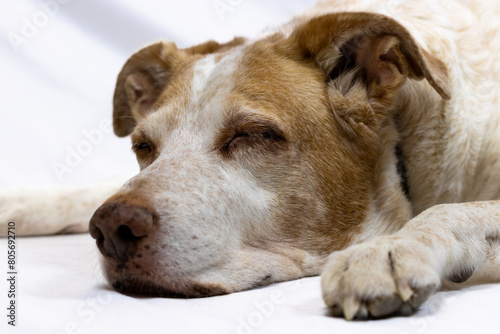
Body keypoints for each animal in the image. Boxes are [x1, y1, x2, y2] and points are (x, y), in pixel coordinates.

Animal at [0, 0, 500, 320]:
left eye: (253, 135)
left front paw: (387, 250)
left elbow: (452, 211)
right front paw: (19, 201)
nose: (112, 227)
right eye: (143, 146)